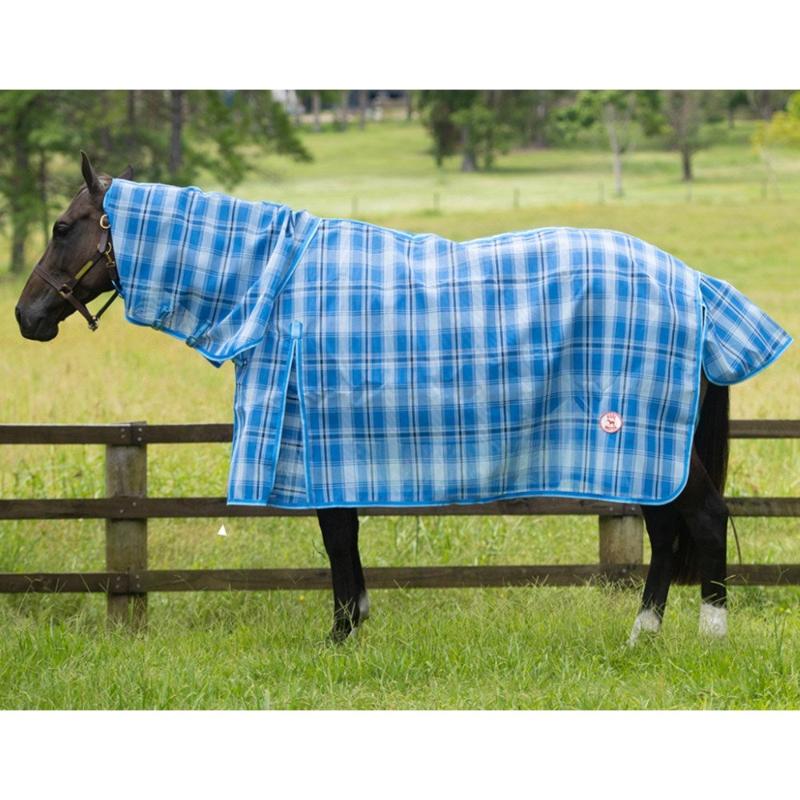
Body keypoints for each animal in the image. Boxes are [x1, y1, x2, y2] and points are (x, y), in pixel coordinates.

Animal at [15, 153, 792, 644]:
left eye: (61, 227)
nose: (26, 316)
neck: (276, 284)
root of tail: (691, 282)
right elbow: (346, 538)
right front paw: (355, 625)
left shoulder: (320, 445)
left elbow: (337, 539)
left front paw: (340, 635)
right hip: (646, 451)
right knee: (665, 533)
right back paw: (643, 635)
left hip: (648, 440)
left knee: (705, 520)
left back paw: (709, 635)